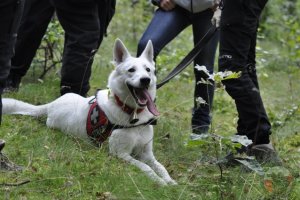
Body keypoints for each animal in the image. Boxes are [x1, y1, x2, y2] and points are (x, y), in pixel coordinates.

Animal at [1, 38, 176, 186]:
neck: (133, 114)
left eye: (148, 70)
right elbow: (147, 168)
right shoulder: (121, 154)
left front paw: (170, 181)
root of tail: (52, 104)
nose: (145, 80)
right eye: (131, 70)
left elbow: (160, 167)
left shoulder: (147, 154)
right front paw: (160, 182)